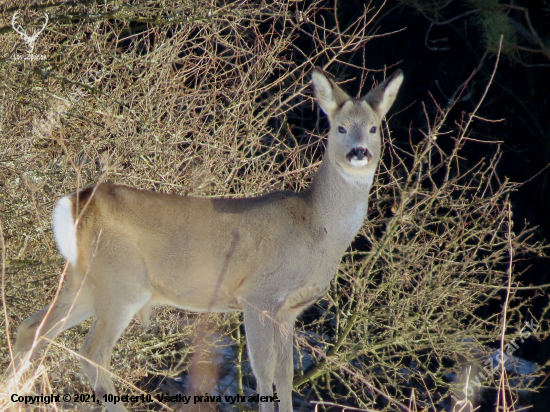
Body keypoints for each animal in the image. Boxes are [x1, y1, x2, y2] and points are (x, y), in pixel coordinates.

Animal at [11, 67, 402, 412]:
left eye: (373, 128)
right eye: (339, 127)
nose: (358, 152)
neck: (317, 228)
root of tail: (75, 203)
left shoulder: (289, 310)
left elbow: (286, 376)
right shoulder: (259, 295)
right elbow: (264, 373)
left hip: (85, 283)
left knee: (32, 329)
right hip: (120, 281)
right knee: (92, 354)